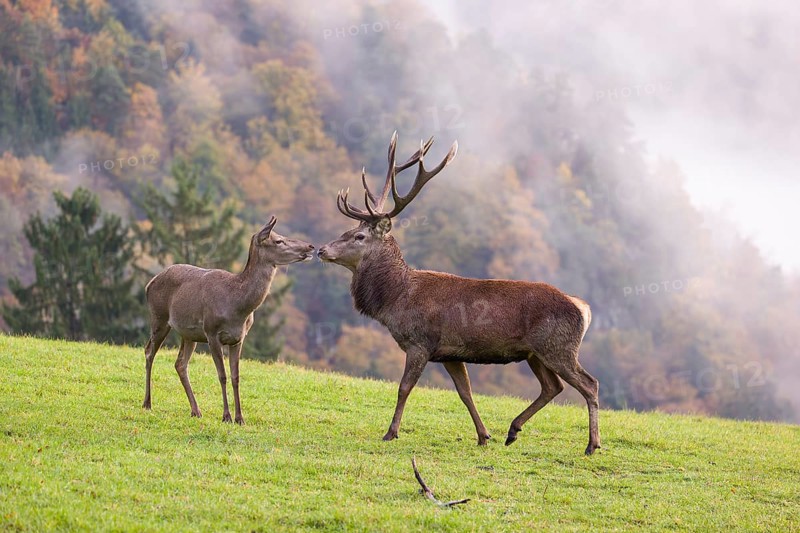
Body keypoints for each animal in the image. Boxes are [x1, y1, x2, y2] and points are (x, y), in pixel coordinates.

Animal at [142, 216, 315, 424]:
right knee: (149, 352)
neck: (237, 307)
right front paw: (226, 416)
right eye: (278, 241)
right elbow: (222, 375)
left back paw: (196, 410)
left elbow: (235, 376)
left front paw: (240, 418)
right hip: (159, 317)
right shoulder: (212, 332)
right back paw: (147, 403)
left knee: (180, 363)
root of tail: (149, 284)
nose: (311, 246)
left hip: (189, 334)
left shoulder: (238, 338)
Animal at [318, 133, 601, 455]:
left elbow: (404, 387)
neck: (396, 298)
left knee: (589, 383)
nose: (321, 249)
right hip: (535, 352)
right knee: (553, 387)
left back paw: (592, 444)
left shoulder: (420, 342)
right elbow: (465, 392)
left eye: (359, 236)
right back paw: (512, 431)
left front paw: (391, 432)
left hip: (558, 346)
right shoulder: (450, 352)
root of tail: (583, 308)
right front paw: (483, 435)